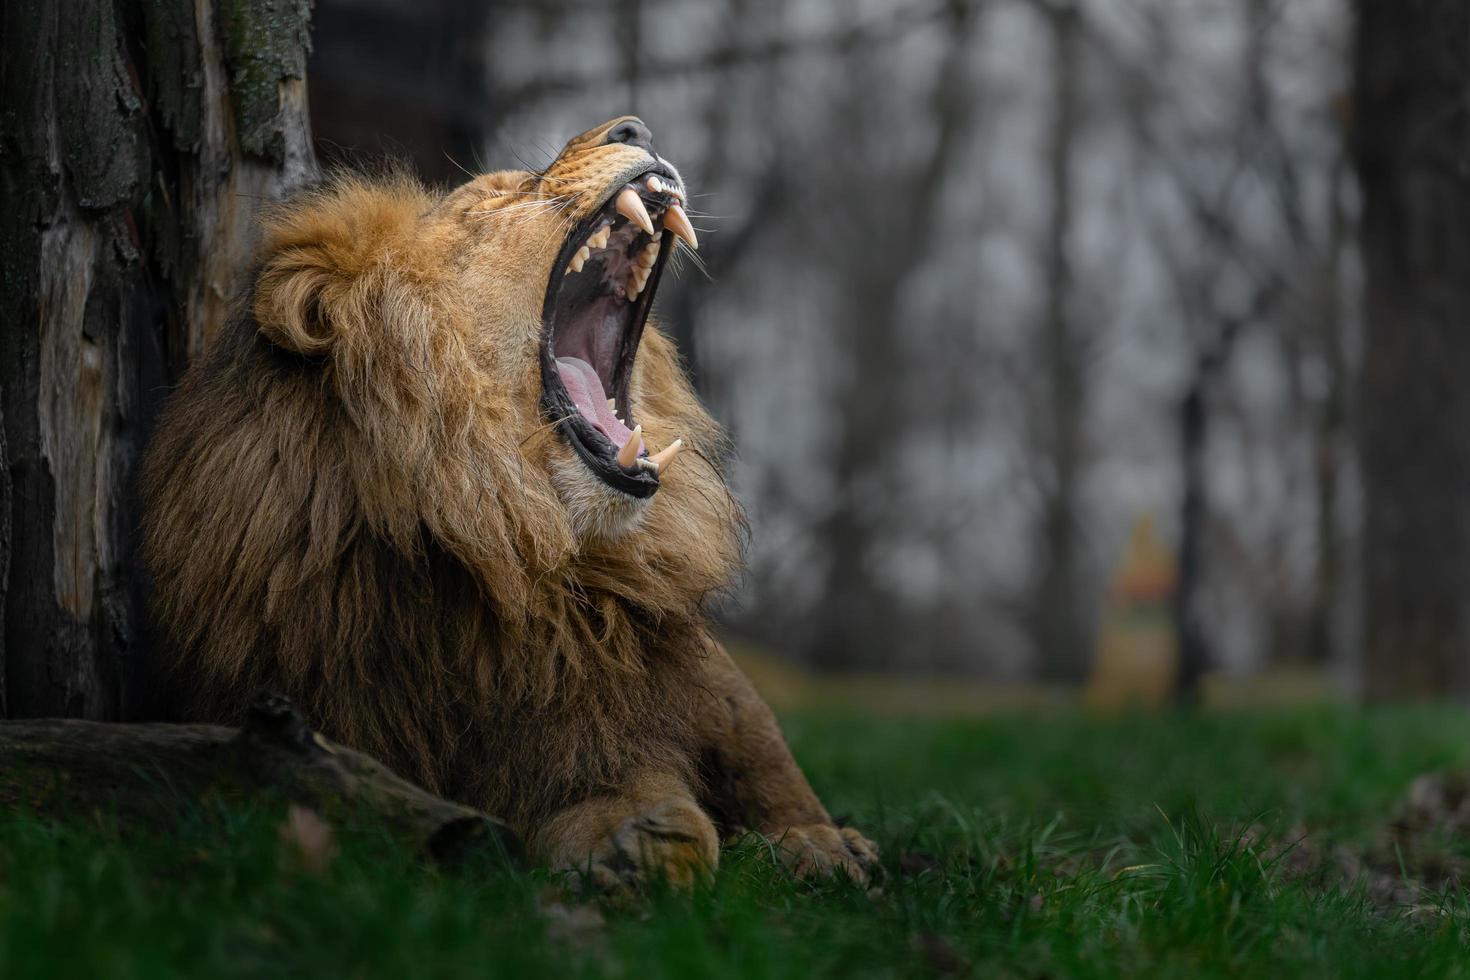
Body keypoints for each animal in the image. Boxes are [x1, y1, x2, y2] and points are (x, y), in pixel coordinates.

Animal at [140, 116, 870, 887]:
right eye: (496, 196)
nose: (635, 126)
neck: (494, 534)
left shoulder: (598, 731)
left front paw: (642, 843)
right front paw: (637, 847)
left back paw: (825, 847)